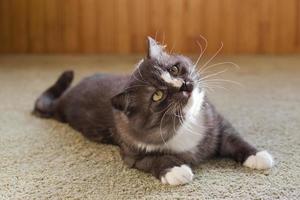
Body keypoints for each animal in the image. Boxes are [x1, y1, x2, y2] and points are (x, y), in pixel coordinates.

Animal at [33, 37, 274, 186]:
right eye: (157, 95)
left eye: (174, 68)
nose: (185, 85)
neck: (184, 124)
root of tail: (62, 100)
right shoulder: (133, 155)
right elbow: (157, 160)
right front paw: (177, 171)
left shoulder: (216, 123)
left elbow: (235, 139)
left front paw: (258, 156)